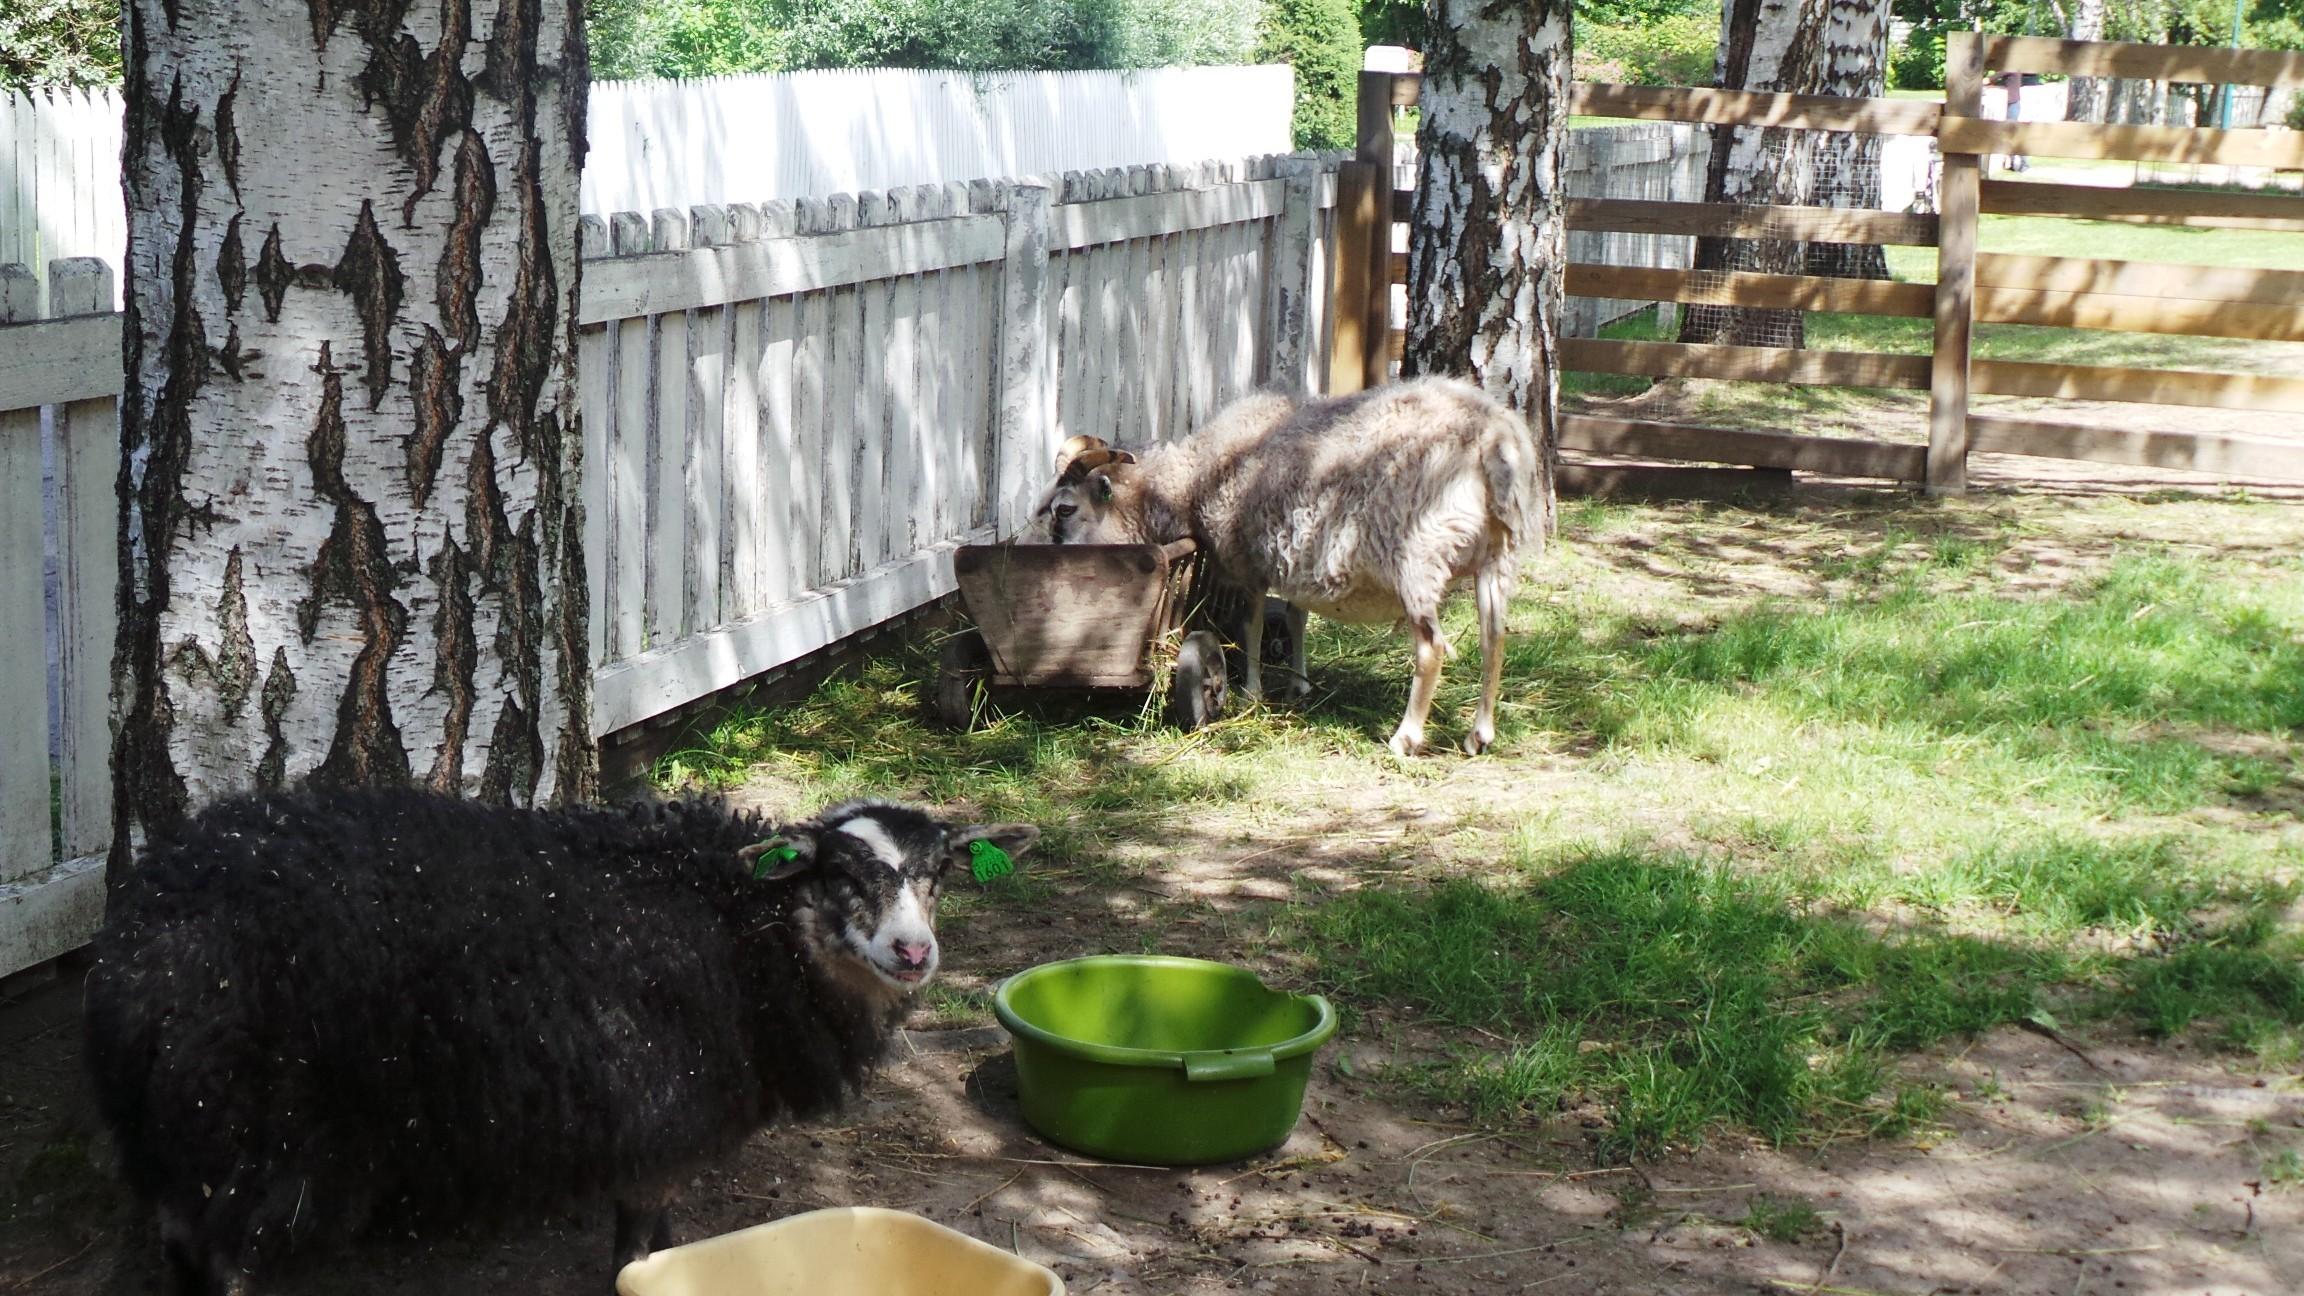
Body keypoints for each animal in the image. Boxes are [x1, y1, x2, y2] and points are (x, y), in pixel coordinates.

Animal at [81, 784, 1036, 1282]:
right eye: (839, 874)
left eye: (940, 872)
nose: (913, 952)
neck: (744, 930)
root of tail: (140, 924)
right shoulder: (660, 1115)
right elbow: (638, 1237)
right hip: (246, 1125)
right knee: (215, 1250)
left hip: (196, 1128)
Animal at [1036, 373, 1539, 751]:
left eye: (1065, 509)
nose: (1054, 556)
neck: (1196, 477)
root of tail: (1494, 436)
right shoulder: (1295, 561)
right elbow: (1296, 619)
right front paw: (1299, 685)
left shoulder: (1248, 559)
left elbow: (1252, 624)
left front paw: (1250, 692)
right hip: (1497, 553)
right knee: (1495, 638)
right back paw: (1480, 734)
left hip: (1418, 554)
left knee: (1432, 648)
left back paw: (1406, 737)